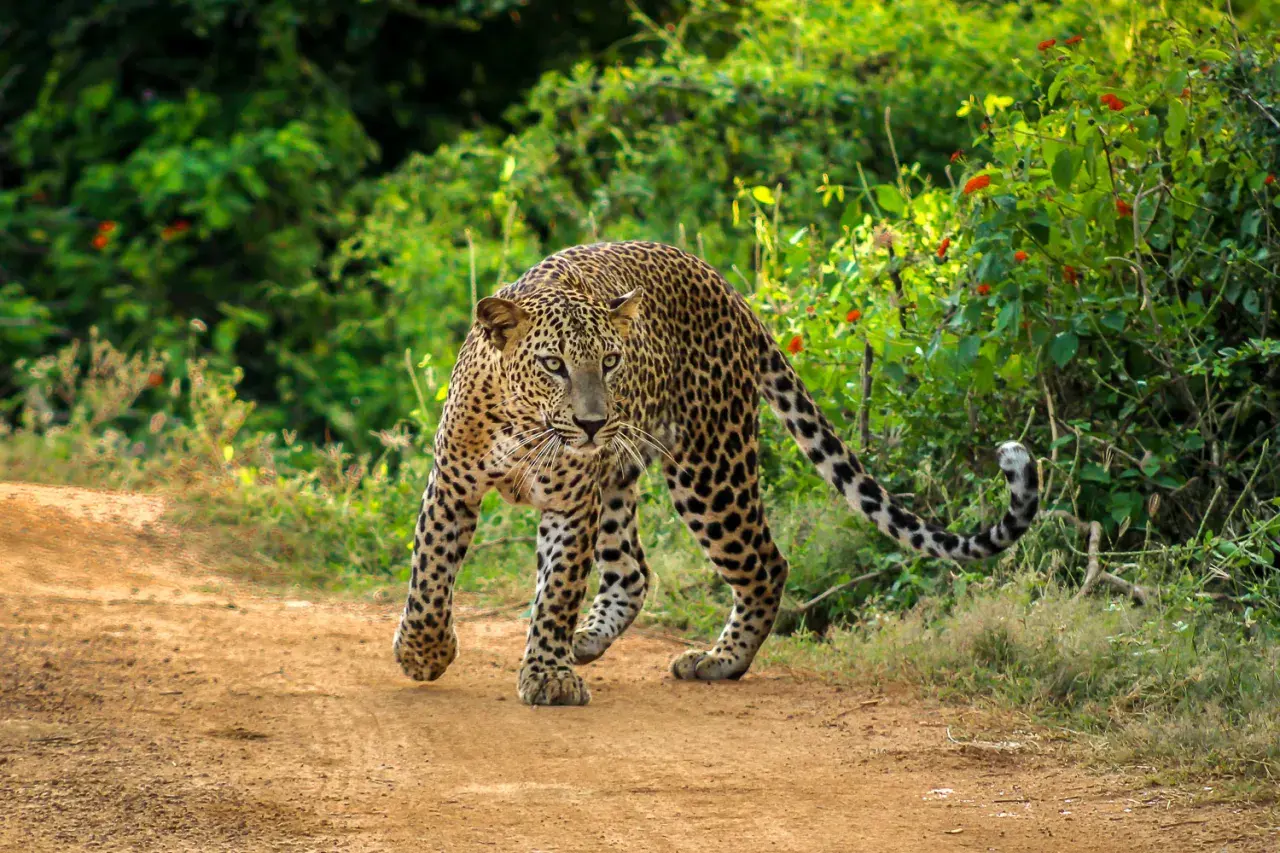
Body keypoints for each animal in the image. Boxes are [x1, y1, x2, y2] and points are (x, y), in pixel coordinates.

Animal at [393, 241, 1039, 706]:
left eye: (611, 361)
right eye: (553, 365)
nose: (594, 422)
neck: (527, 424)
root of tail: (729, 289)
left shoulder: (571, 503)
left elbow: (556, 591)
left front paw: (547, 674)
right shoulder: (452, 484)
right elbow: (430, 574)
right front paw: (424, 653)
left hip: (708, 468)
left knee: (765, 564)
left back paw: (719, 661)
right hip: (625, 478)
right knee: (632, 570)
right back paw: (591, 640)